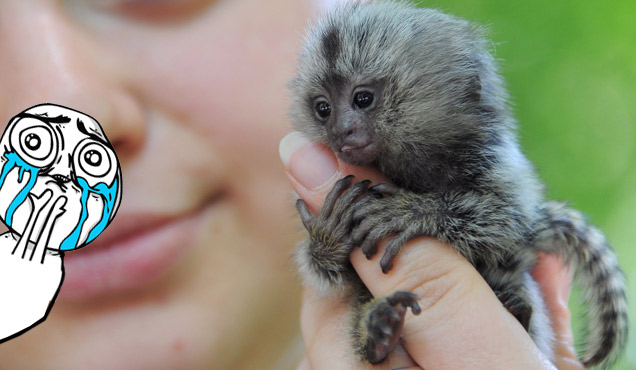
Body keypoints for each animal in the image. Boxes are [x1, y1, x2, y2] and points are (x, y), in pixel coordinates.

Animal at [290, 0, 628, 368]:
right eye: (323, 109)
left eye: (363, 99)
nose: (340, 131)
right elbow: (338, 276)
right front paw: (329, 236)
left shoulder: (496, 161)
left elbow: (507, 221)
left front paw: (416, 212)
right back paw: (379, 332)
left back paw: (517, 312)